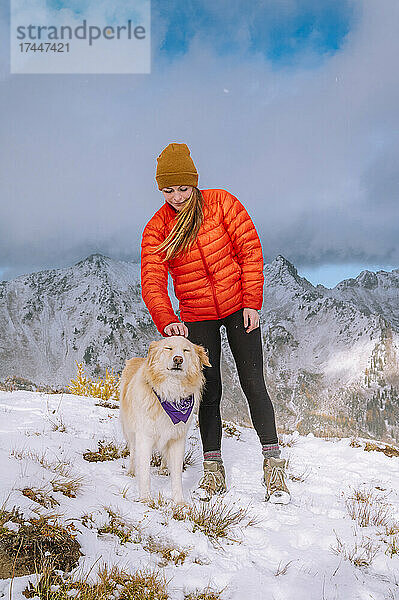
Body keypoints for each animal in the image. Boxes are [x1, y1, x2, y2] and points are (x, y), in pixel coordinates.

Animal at [119, 336, 211, 504]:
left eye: (186, 350)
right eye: (168, 348)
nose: (178, 359)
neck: (171, 393)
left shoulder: (177, 439)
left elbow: (177, 475)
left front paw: (179, 502)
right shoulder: (144, 438)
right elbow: (144, 472)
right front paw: (146, 499)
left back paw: (163, 469)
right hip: (129, 430)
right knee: (133, 453)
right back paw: (131, 472)